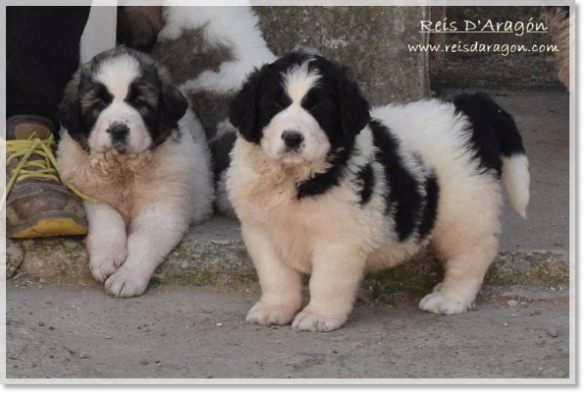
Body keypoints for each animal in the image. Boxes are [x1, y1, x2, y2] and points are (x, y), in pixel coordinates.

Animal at [55, 46, 212, 296]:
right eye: (99, 105)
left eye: (140, 103)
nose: (119, 129)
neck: (124, 169)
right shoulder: (91, 195)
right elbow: (107, 220)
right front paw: (105, 258)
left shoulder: (163, 212)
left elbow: (144, 242)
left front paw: (127, 277)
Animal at [226, 51, 528, 332]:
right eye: (273, 105)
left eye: (319, 108)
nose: (292, 137)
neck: (294, 178)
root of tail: (465, 107)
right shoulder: (261, 232)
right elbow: (275, 278)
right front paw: (274, 309)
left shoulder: (339, 238)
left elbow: (326, 281)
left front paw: (318, 316)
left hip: (465, 210)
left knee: (472, 255)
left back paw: (449, 298)